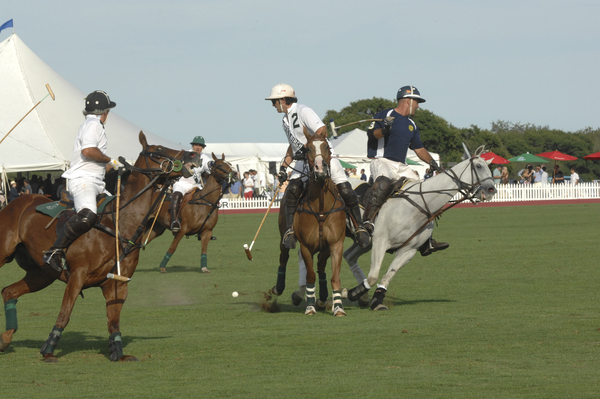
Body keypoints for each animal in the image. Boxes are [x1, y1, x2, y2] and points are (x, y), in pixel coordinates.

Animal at [0, 133, 198, 364]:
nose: (193, 155)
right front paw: (48, 350)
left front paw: (118, 353)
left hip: (41, 274)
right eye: (158, 149)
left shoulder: (118, 283)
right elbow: (65, 314)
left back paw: (5, 339)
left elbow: (114, 321)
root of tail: (14, 203)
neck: (121, 223)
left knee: (9, 291)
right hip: (6, 254)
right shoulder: (77, 275)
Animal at [268, 131, 346, 316]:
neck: (321, 207)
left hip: (325, 248)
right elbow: (310, 275)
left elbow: (335, 277)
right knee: (284, 257)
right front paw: (310, 306)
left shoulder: (336, 244)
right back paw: (278, 288)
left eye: (326, 146)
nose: (320, 170)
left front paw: (338, 307)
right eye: (308, 148)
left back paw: (323, 298)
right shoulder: (306, 246)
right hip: (283, 234)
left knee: (321, 266)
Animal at [346, 145, 496, 310]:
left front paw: (375, 300)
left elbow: (388, 276)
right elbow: (373, 277)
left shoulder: (408, 250)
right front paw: (351, 292)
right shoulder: (380, 242)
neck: (416, 208)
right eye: (479, 166)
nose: (492, 190)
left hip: (364, 242)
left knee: (349, 256)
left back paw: (362, 297)